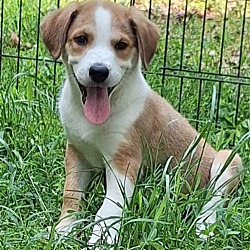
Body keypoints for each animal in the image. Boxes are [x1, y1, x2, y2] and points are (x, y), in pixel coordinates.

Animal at [40, 0, 242, 248]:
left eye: (121, 45)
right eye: (81, 39)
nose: (99, 72)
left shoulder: (124, 161)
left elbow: (108, 208)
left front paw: (101, 240)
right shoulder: (77, 152)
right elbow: (71, 195)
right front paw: (62, 230)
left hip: (229, 160)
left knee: (213, 201)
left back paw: (204, 228)